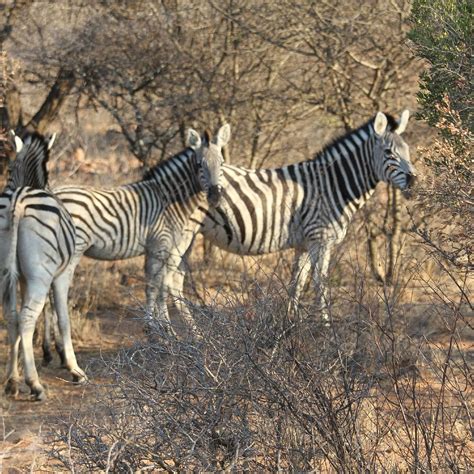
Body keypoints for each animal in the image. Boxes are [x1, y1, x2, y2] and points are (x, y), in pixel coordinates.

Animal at [0, 131, 85, 402]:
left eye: (8, 170)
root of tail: (17, 200)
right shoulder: (62, 275)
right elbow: (63, 317)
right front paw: (73, 368)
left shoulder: (22, 279)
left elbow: (19, 321)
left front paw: (14, 372)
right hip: (41, 276)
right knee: (27, 317)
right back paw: (35, 384)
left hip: (7, 271)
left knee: (13, 316)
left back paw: (13, 382)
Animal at [168, 111, 414, 324]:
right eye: (389, 153)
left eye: (407, 150)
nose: (413, 180)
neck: (332, 184)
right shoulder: (320, 240)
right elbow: (320, 285)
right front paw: (326, 329)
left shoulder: (304, 244)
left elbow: (296, 284)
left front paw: (290, 324)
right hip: (182, 233)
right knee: (169, 279)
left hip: (189, 235)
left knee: (175, 278)